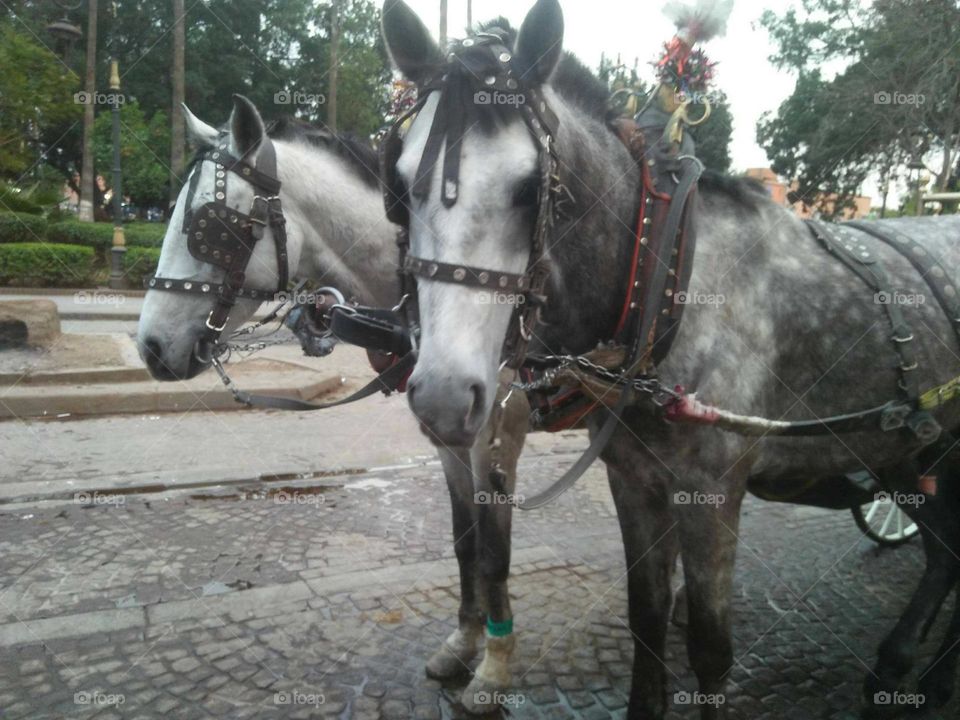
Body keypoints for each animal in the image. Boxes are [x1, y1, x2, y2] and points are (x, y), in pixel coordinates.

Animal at [380, 0, 960, 717]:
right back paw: (905, 667)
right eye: (399, 185)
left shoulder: (711, 491)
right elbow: (647, 617)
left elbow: (709, 648)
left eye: (530, 189)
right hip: (914, 451)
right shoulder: (634, 479)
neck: (664, 283)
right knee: (947, 552)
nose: (441, 397)